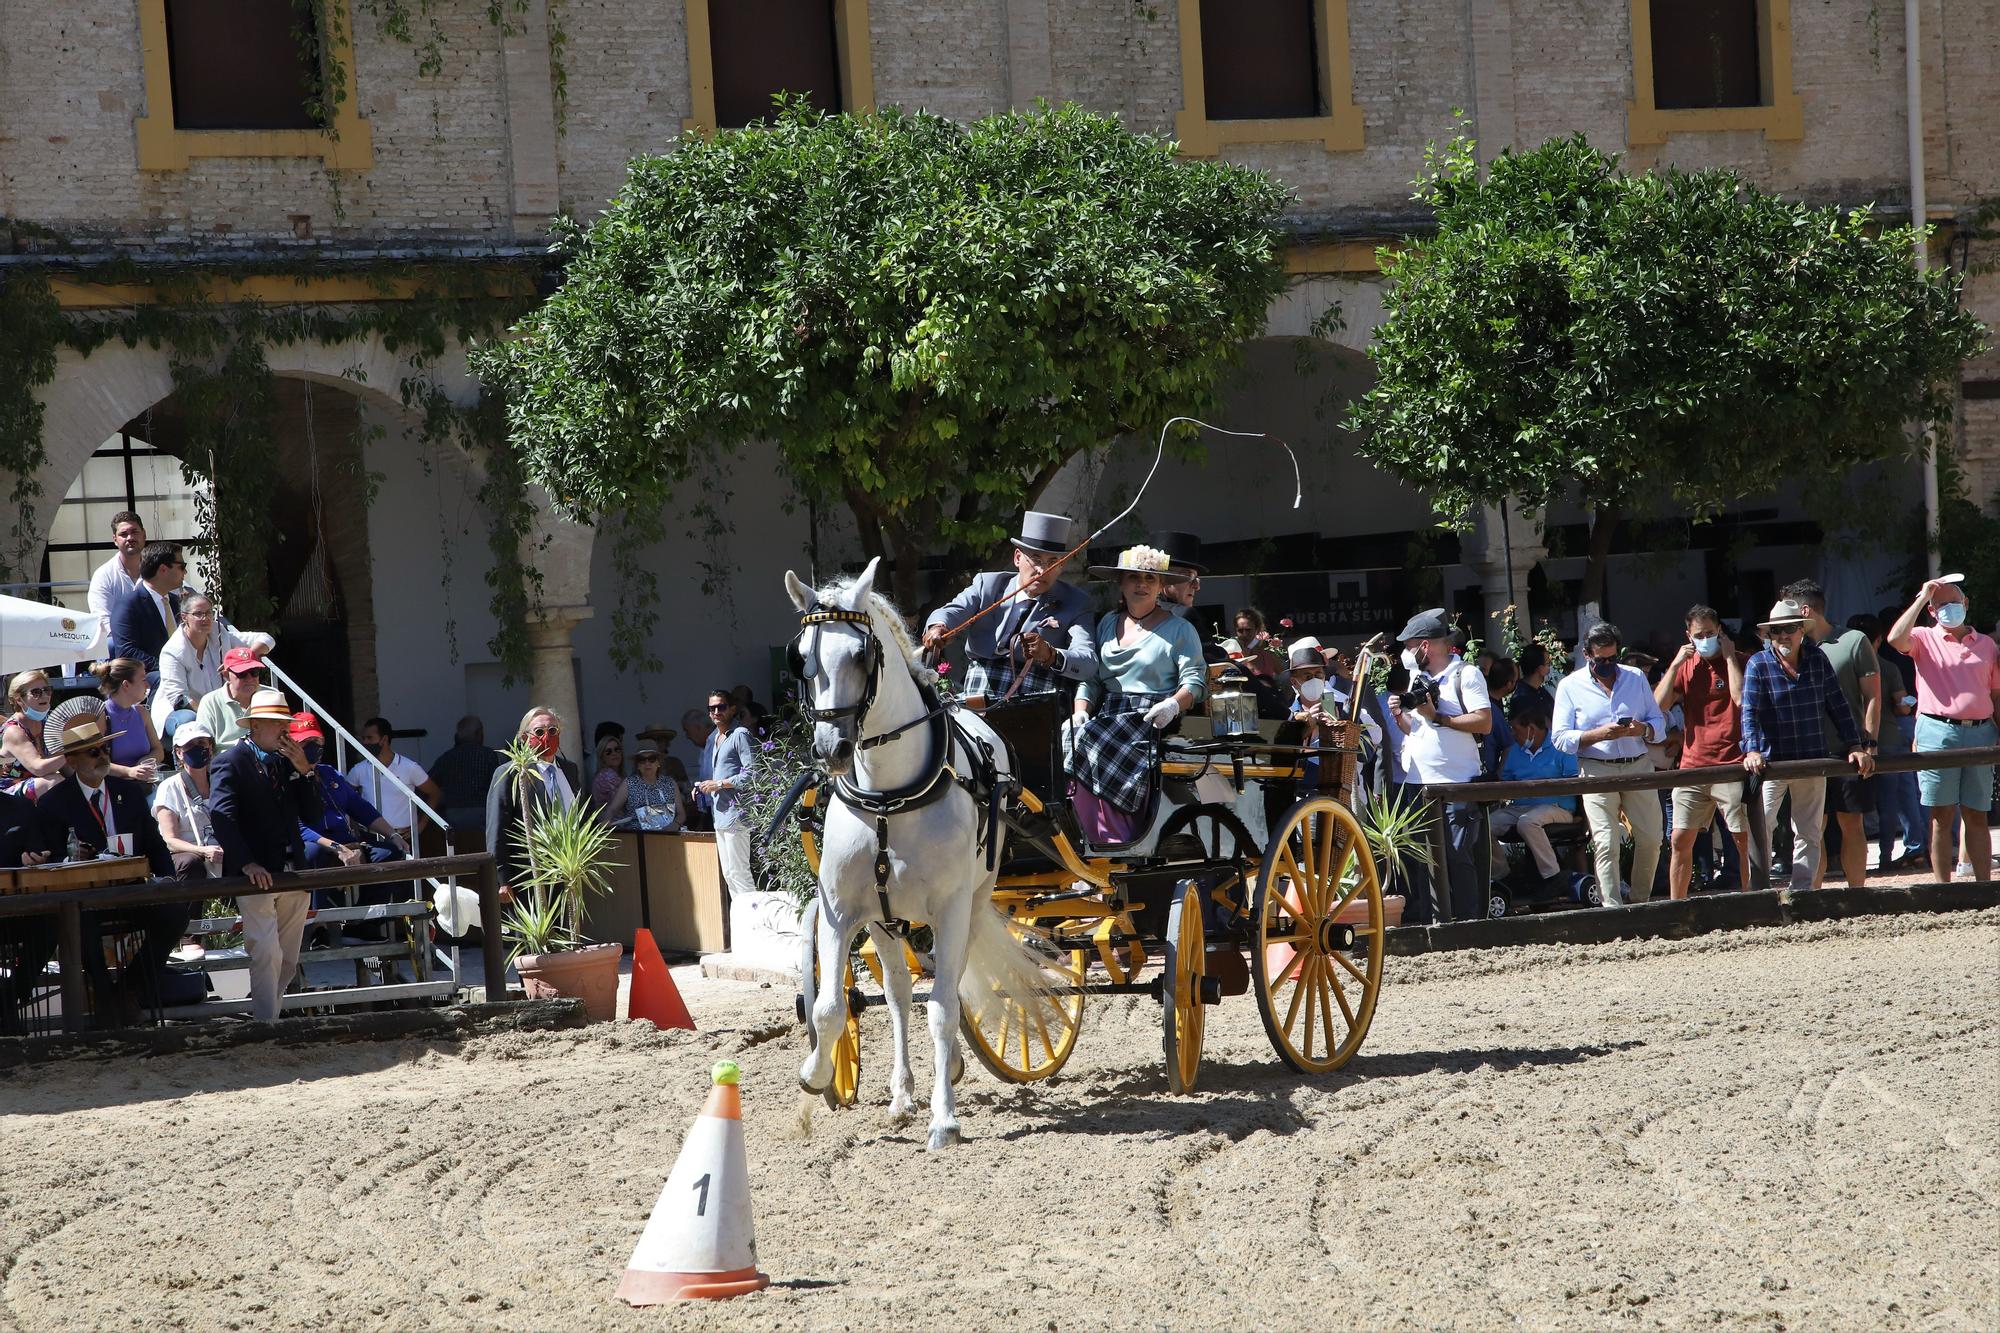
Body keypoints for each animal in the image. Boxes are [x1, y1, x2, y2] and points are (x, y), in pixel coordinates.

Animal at [784, 556, 1064, 1144]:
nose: (831, 750)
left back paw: (945, 1071)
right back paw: (902, 1095)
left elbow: (942, 1007)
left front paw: (945, 1119)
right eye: (802, 660)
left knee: (949, 990)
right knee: (895, 995)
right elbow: (829, 1007)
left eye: (862, 655)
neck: (889, 797)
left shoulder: (951, 909)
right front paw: (817, 1075)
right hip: (886, 922)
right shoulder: (842, 911)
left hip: (973, 902)